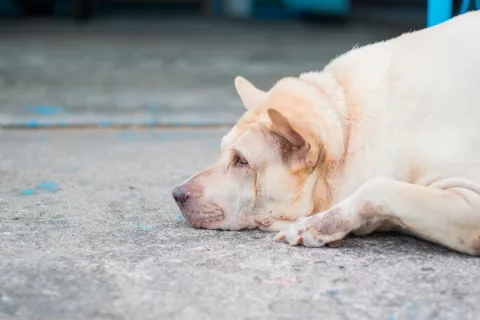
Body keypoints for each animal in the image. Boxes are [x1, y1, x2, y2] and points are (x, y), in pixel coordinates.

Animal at [174, 11, 480, 255]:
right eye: (222, 151)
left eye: (242, 161)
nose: (177, 194)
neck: (348, 131)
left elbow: (377, 187)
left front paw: (318, 224)